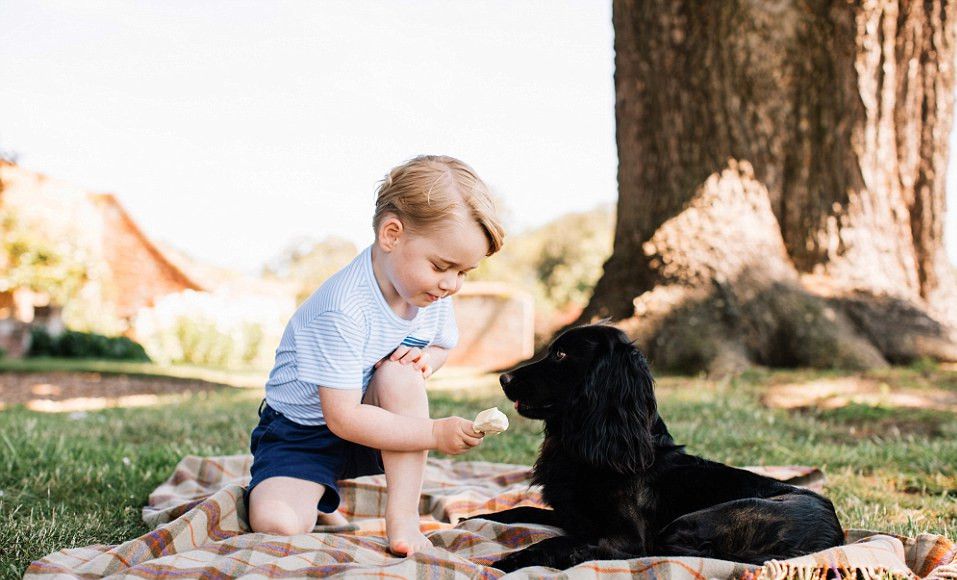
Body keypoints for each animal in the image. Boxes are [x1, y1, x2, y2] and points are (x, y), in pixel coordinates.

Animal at [466, 324, 840, 572]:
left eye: (560, 354)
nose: (503, 378)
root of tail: (831, 538)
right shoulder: (572, 515)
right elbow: (519, 510)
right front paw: (471, 518)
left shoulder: (627, 536)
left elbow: (558, 541)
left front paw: (510, 560)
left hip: (689, 523)